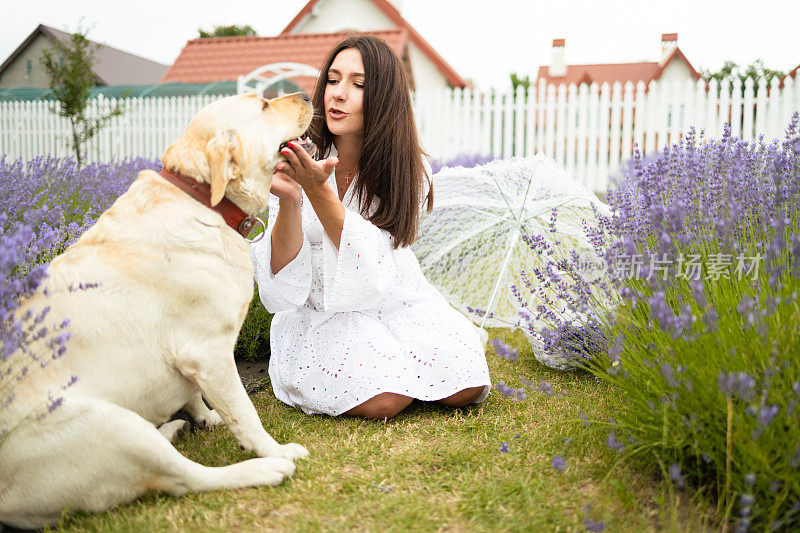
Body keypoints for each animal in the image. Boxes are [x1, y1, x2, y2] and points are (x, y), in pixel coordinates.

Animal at [0, 91, 312, 528]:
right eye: (263, 106)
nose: (306, 94)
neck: (205, 202)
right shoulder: (209, 352)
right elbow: (245, 413)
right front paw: (273, 448)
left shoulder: (198, 360)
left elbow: (199, 394)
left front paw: (207, 416)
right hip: (111, 426)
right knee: (186, 479)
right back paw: (265, 468)